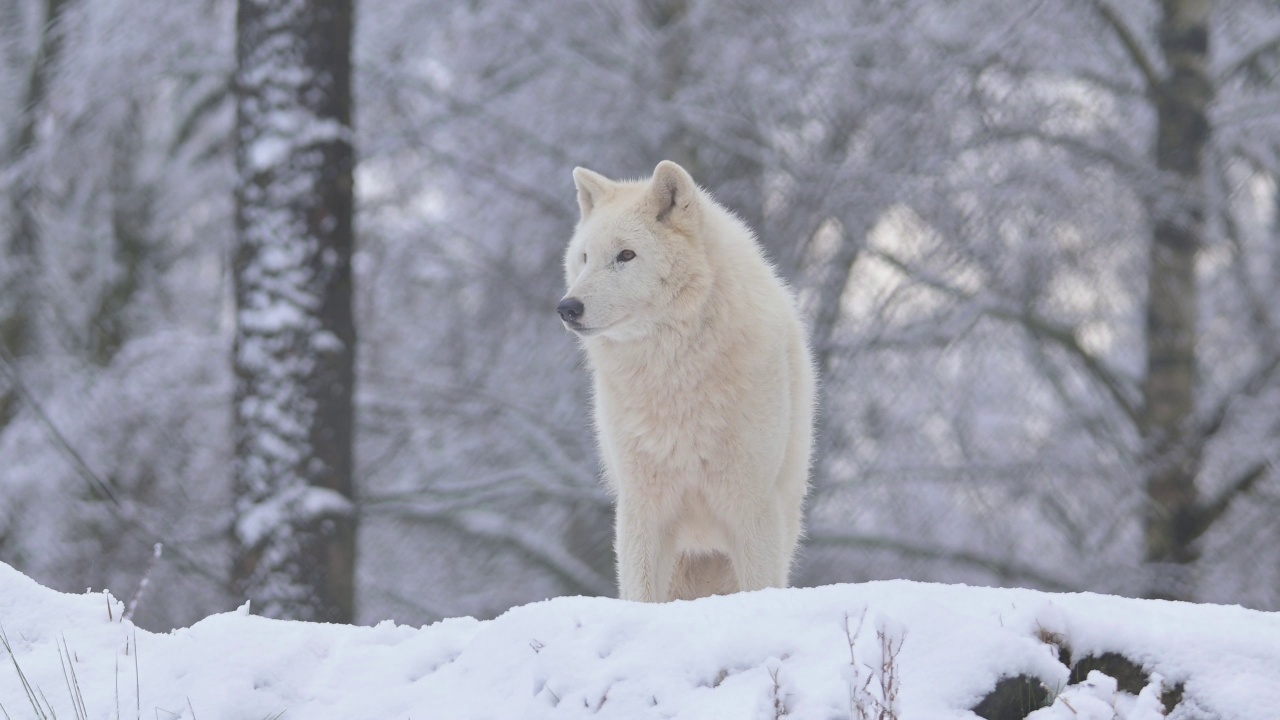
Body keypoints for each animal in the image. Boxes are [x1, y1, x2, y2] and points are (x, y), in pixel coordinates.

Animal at [555, 158, 814, 599]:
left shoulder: (752, 505)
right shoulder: (642, 507)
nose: (567, 307)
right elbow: (640, 594)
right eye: (585, 258)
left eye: (626, 255)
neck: (673, 373)